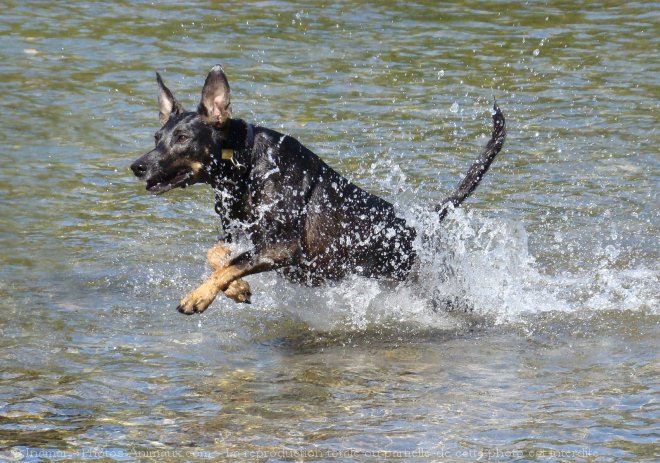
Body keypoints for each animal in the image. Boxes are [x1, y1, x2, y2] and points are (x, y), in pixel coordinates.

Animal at [131, 65, 508, 316]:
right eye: (157, 137)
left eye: (183, 138)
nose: (137, 166)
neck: (247, 166)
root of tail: (422, 224)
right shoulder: (239, 236)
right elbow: (218, 256)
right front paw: (236, 289)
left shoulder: (284, 247)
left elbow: (234, 262)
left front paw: (199, 296)